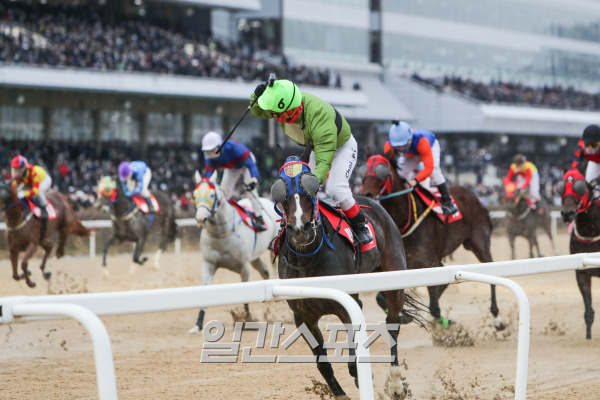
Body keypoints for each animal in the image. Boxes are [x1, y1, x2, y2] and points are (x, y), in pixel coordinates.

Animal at [274, 150, 410, 400]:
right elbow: (322, 363)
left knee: (392, 325)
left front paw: (363, 376)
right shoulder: (303, 317)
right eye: (280, 190)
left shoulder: (347, 308)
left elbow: (353, 354)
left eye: (312, 188)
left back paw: (396, 383)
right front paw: (340, 392)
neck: (308, 259)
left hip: (395, 279)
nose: (300, 230)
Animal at [358, 152, 504, 330]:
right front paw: (406, 315)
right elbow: (381, 297)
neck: (406, 219)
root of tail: (473, 196)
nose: (365, 194)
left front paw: (443, 322)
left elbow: (434, 306)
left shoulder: (429, 261)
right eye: (363, 170)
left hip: (478, 242)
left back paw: (496, 317)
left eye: (382, 172)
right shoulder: (407, 264)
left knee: (490, 268)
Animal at [556, 169, 600, 340]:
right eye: (560, 187)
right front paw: (588, 336)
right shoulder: (582, 273)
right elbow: (588, 312)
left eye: (580, 187)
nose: (568, 213)